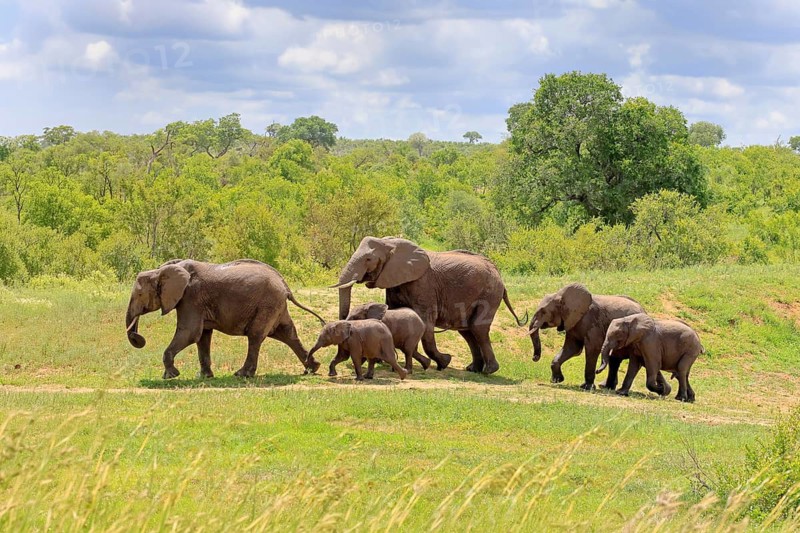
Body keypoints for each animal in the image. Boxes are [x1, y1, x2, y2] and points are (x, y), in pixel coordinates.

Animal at [125, 259, 325, 379]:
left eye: (140, 294)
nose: (138, 338)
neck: (161, 270)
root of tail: (285, 285)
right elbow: (202, 337)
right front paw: (204, 377)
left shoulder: (191, 298)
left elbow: (190, 333)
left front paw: (170, 376)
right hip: (276, 306)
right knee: (287, 334)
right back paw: (312, 368)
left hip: (268, 304)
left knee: (255, 336)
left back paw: (242, 374)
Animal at [331, 236, 527, 375]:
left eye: (368, 259)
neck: (391, 243)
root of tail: (499, 275)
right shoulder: (395, 280)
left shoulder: (423, 284)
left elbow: (426, 322)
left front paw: (444, 362)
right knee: (467, 330)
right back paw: (473, 369)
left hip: (490, 293)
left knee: (477, 328)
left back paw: (489, 371)